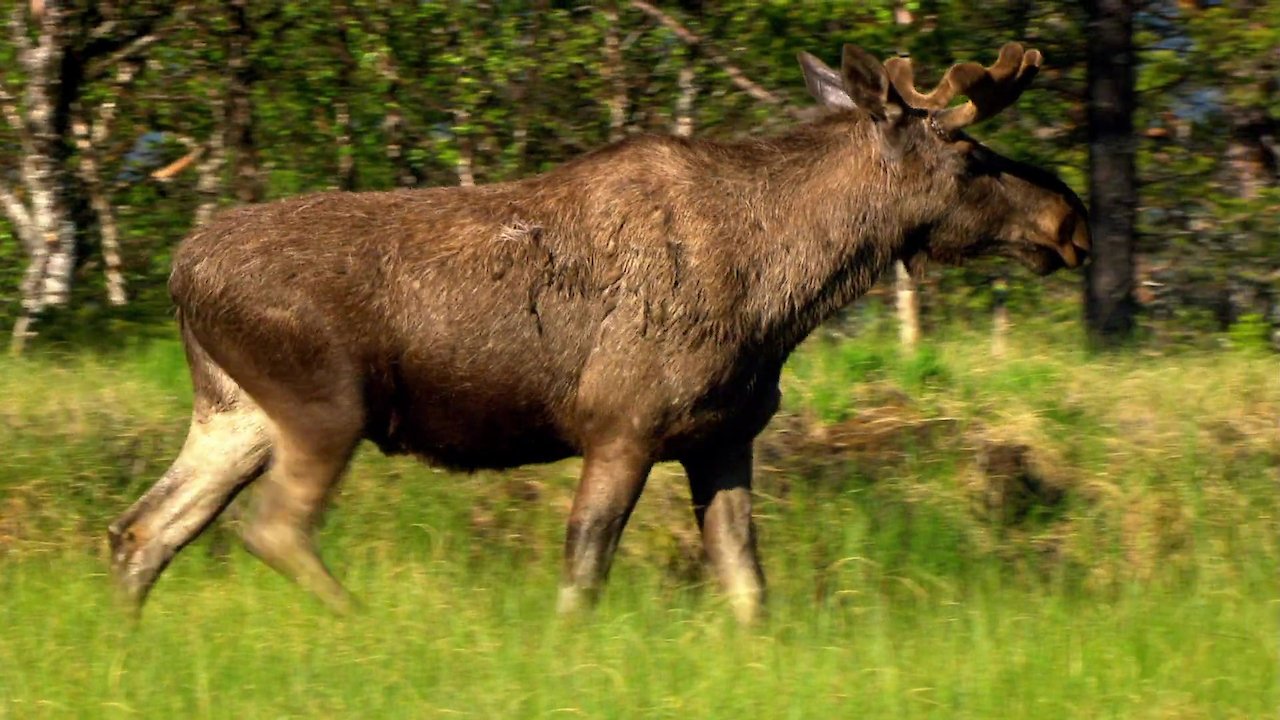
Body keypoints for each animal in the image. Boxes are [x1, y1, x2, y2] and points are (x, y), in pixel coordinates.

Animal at [108, 42, 1090, 624]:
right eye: (969, 154)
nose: (1070, 218)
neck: (786, 292)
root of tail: (179, 272)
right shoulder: (623, 425)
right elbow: (583, 572)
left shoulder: (722, 437)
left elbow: (747, 586)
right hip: (323, 407)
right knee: (269, 528)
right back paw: (364, 625)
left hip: (234, 414)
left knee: (143, 529)